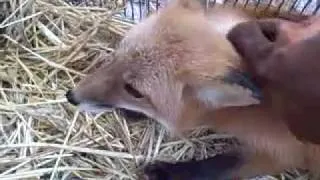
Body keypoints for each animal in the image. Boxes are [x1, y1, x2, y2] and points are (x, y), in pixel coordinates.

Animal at [64, 0, 320, 179]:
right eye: (118, 53)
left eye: (134, 90)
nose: (71, 97)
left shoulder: (285, 151)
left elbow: (219, 166)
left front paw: (166, 172)